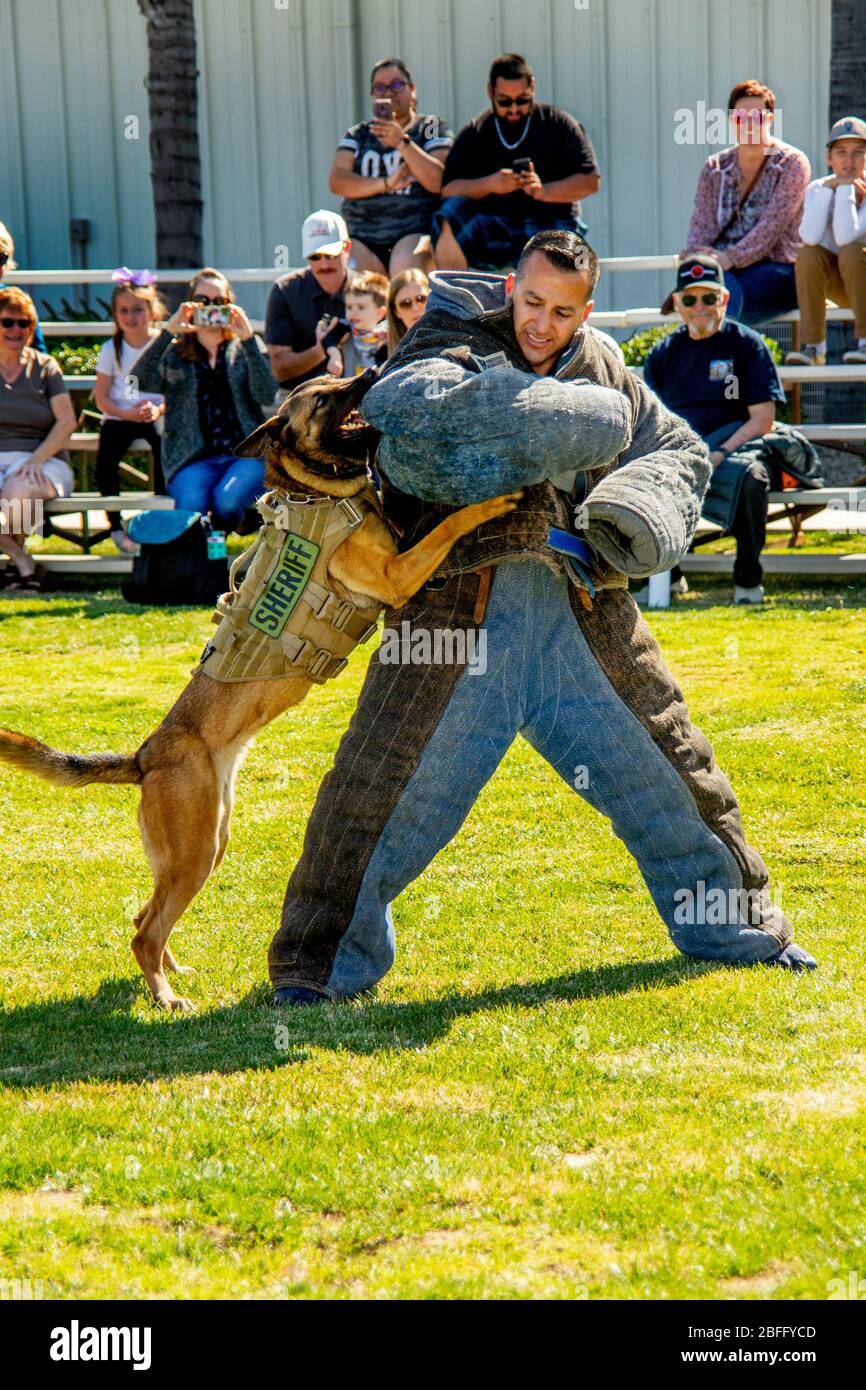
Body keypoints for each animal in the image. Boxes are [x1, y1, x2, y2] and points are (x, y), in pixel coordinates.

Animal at [0, 369, 522, 1011]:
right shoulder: (395, 574)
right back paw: (166, 997)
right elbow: (447, 525)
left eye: (336, 379)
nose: (371, 371)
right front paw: (491, 502)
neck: (318, 495)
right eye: (324, 397)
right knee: (144, 931)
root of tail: (145, 756)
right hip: (197, 850)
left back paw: (171, 973)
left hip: (207, 844)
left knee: (146, 916)